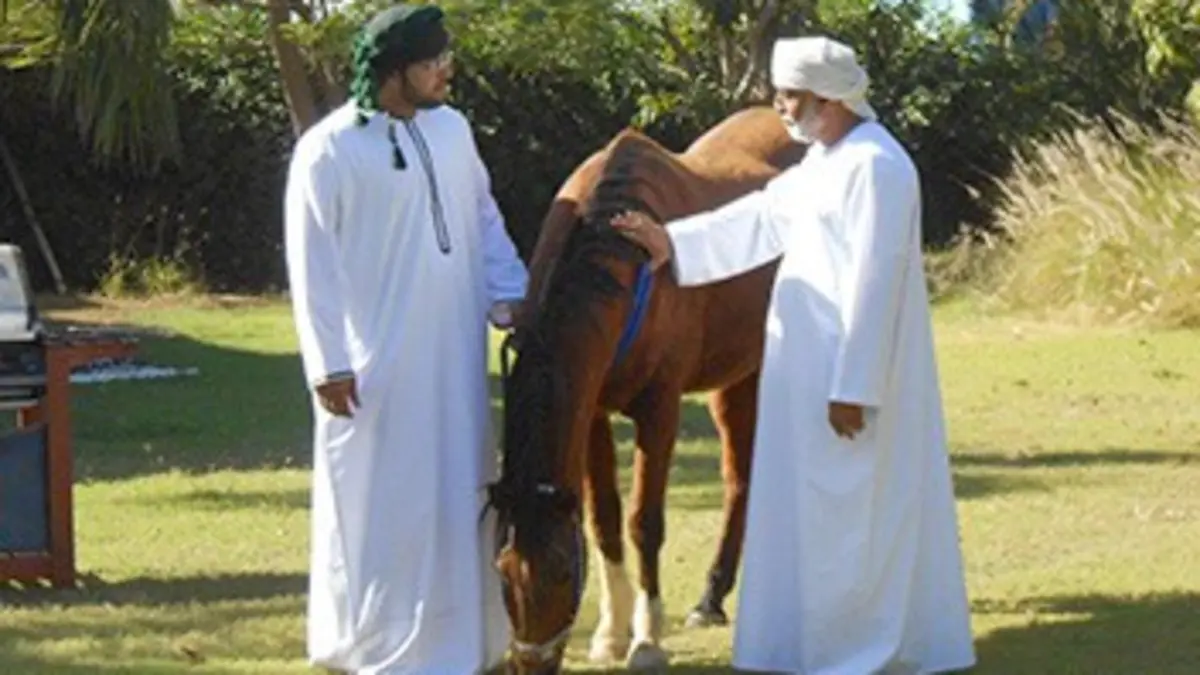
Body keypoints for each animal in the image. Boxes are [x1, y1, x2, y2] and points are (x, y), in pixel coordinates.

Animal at [485, 105, 805, 673]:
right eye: (504, 570)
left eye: (563, 573)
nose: (531, 663)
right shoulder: (591, 414)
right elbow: (606, 520)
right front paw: (611, 634)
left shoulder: (660, 410)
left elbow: (644, 522)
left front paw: (647, 639)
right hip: (734, 378)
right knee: (739, 479)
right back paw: (710, 598)